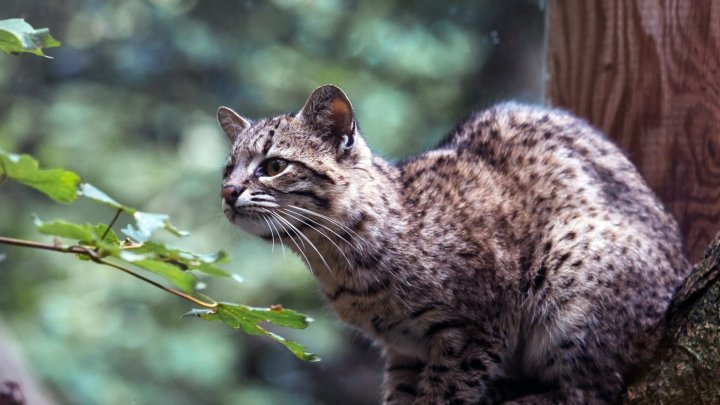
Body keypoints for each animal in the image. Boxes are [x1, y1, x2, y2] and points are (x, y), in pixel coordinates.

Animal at [215, 83, 692, 402]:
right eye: (227, 168)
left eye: (274, 166)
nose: (227, 192)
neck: (338, 264)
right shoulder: (403, 349)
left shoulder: (474, 332)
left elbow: (444, 395)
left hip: (572, 268)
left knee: (588, 391)